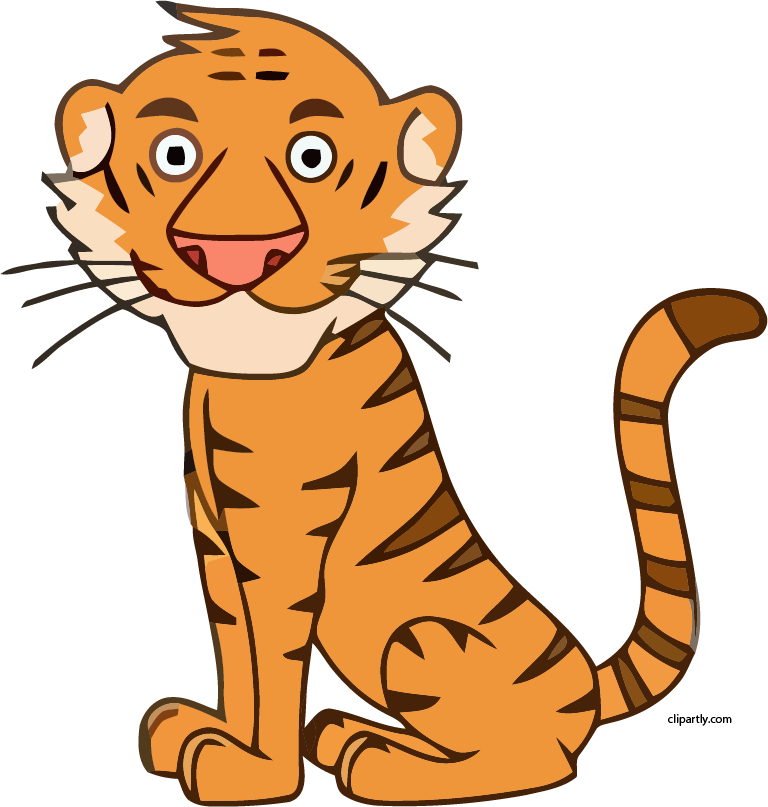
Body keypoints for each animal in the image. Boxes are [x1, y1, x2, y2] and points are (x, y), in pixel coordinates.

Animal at [7, 3, 766, 805]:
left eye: (312, 156)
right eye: (174, 154)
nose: (236, 252)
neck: (250, 372)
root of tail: (585, 681)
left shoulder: (281, 542)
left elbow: (273, 662)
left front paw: (255, 771)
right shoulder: (213, 535)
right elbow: (234, 650)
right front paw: (203, 731)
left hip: (419, 642)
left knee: (542, 759)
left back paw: (378, 764)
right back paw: (348, 733)